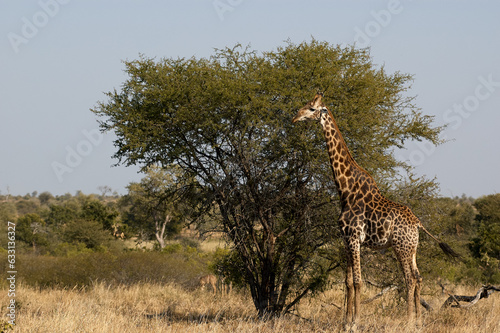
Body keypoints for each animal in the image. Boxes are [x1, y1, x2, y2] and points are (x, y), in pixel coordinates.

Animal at [292, 92, 458, 322]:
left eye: (311, 108)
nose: (295, 117)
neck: (345, 190)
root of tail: (418, 223)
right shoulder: (346, 239)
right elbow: (348, 282)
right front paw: (345, 323)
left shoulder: (354, 238)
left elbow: (358, 281)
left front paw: (355, 322)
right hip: (412, 248)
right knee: (419, 277)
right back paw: (417, 321)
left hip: (401, 247)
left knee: (409, 279)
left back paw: (408, 321)